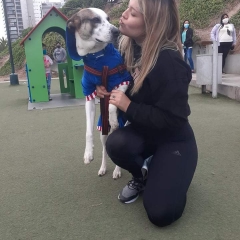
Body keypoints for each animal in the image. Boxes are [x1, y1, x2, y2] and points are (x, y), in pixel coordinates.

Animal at [65, 7, 132, 178]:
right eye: (95, 20)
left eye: (108, 19)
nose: (116, 31)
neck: (97, 58)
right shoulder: (89, 95)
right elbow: (88, 131)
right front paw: (88, 153)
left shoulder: (123, 81)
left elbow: (112, 104)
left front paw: (114, 119)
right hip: (103, 130)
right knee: (105, 148)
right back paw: (103, 168)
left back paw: (117, 170)